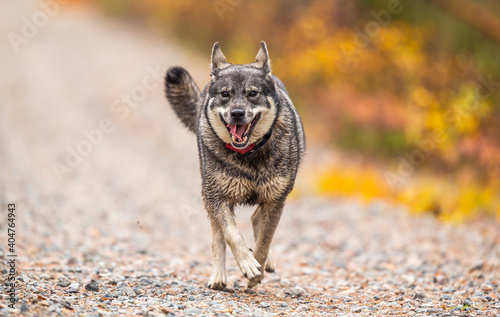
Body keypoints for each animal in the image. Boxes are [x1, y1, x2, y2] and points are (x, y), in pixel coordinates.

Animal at [165, 40, 304, 288]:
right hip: (208, 195)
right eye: (225, 94)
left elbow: (264, 241)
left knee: (256, 220)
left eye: (252, 93)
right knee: (218, 237)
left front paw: (257, 270)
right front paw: (247, 263)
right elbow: (231, 234)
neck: (248, 155)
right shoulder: (217, 197)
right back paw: (219, 277)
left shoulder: (276, 200)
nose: (237, 113)